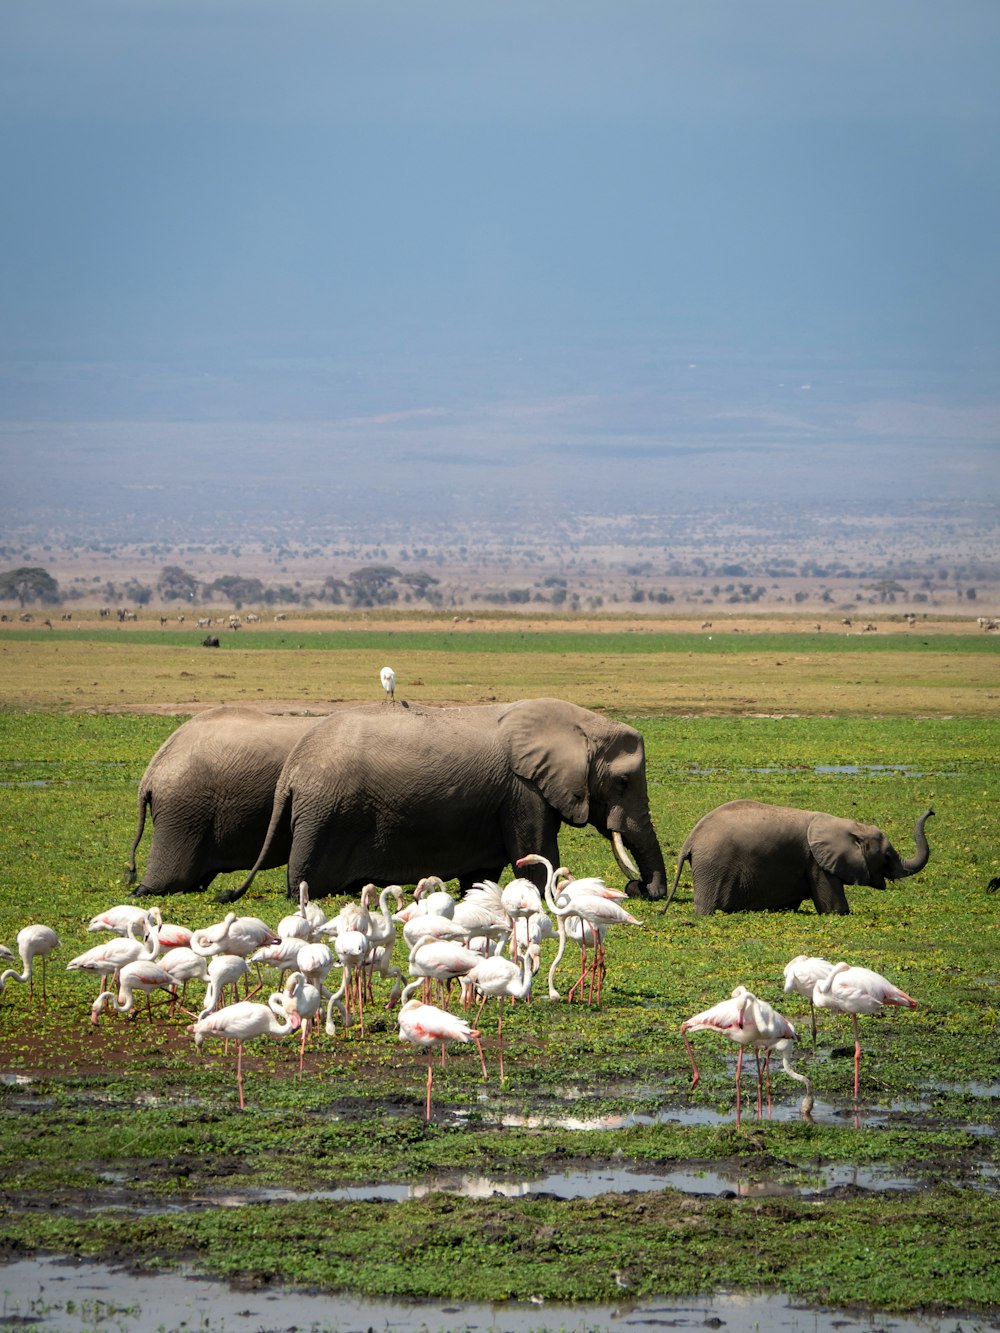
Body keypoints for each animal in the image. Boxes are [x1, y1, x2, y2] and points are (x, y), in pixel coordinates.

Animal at [222, 698, 669, 906]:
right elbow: (535, 857)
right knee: (308, 879)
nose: (639, 888)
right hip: (326, 815)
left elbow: (483, 873)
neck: (581, 723)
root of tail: (291, 772)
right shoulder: (523, 791)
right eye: (624, 781)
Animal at [661, 794, 938, 911]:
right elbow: (834, 908)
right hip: (713, 866)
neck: (847, 825)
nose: (931, 810)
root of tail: (690, 840)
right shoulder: (817, 863)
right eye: (887, 856)